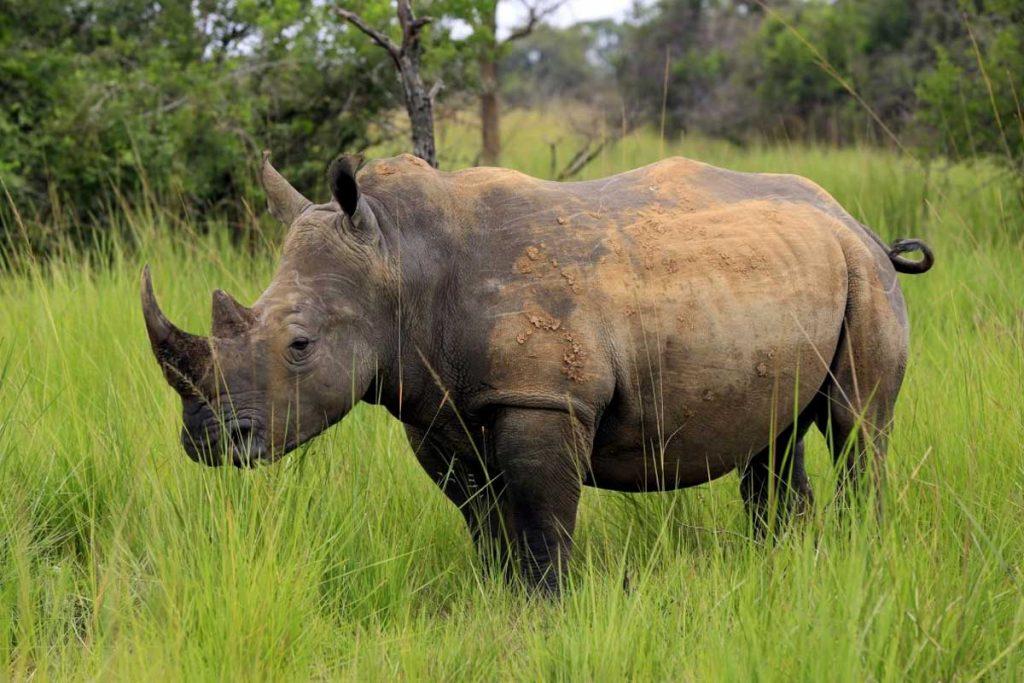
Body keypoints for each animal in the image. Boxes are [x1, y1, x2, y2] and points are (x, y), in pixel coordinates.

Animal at [142, 152, 933, 592]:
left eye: (299, 345)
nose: (207, 441)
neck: (400, 259)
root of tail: (853, 219)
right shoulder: (437, 407)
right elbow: (483, 518)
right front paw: (499, 600)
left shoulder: (543, 399)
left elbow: (542, 518)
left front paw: (547, 609)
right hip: (784, 277)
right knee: (773, 438)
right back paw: (783, 559)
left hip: (863, 273)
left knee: (859, 425)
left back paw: (858, 549)